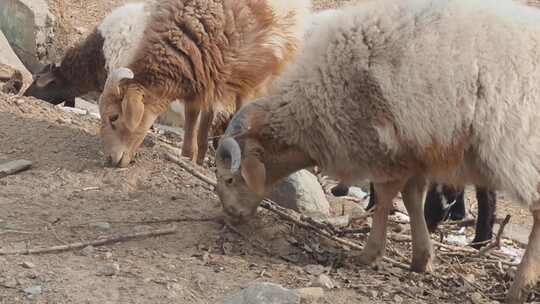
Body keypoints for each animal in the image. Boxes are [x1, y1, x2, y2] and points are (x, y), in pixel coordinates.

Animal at [97, 0, 312, 166]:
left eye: (114, 117)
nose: (109, 159)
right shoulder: (200, 81)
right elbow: (192, 121)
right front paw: (188, 157)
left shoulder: (248, 81)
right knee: (207, 118)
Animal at [215, 1, 540, 302]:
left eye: (230, 179)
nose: (230, 215)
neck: (309, 109)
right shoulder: (411, 152)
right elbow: (411, 200)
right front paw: (422, 258)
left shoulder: (381, 147)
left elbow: (384, 200)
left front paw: (370, 253)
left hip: (518, 148)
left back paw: (520, 286)